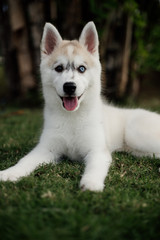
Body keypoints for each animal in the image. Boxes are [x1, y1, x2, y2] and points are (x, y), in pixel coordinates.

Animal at [0, 22, 160, 191]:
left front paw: (91, 183)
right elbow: (25, 160)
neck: (72, 117)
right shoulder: (46, 149)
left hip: (135, 134)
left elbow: (94, 168)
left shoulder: (97, 151)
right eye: (59, 68)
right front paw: (10, 172)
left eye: (82, 68)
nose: (70, 86)